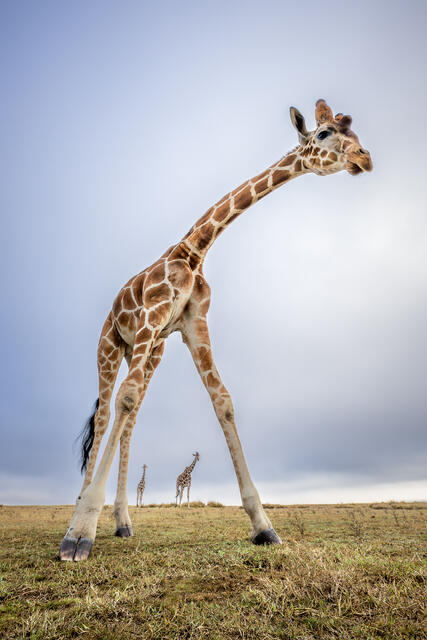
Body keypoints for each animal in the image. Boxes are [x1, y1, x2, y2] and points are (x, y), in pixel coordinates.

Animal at [59, 99, 372, 561]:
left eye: (352, 133)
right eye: (323, 134)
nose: (364, 158)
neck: (194, 251)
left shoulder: (192, 324)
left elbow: (222, 401)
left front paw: (263, 526)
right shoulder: (155, 313)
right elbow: (122, 401)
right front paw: (79, 534)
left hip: (151, 353)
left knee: (130, 417)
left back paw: (122, 522)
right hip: (111, 344)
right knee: (105, 414)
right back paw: (82, 512)